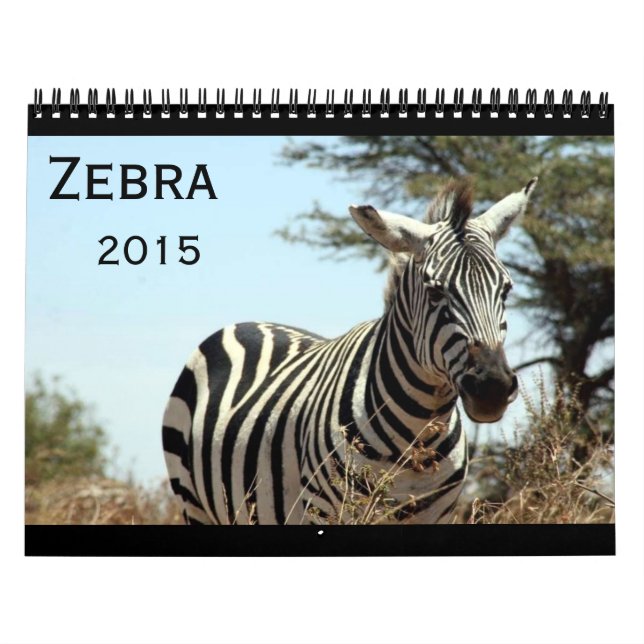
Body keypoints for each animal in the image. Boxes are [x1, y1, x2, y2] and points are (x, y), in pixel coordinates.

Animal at [162, 177, 538, 525]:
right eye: (435, 292)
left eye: (506, 290)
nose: (491, 388)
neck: (416, 438)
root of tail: (246, 323)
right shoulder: (329, 511)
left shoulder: (439, 514)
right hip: (194, 503)